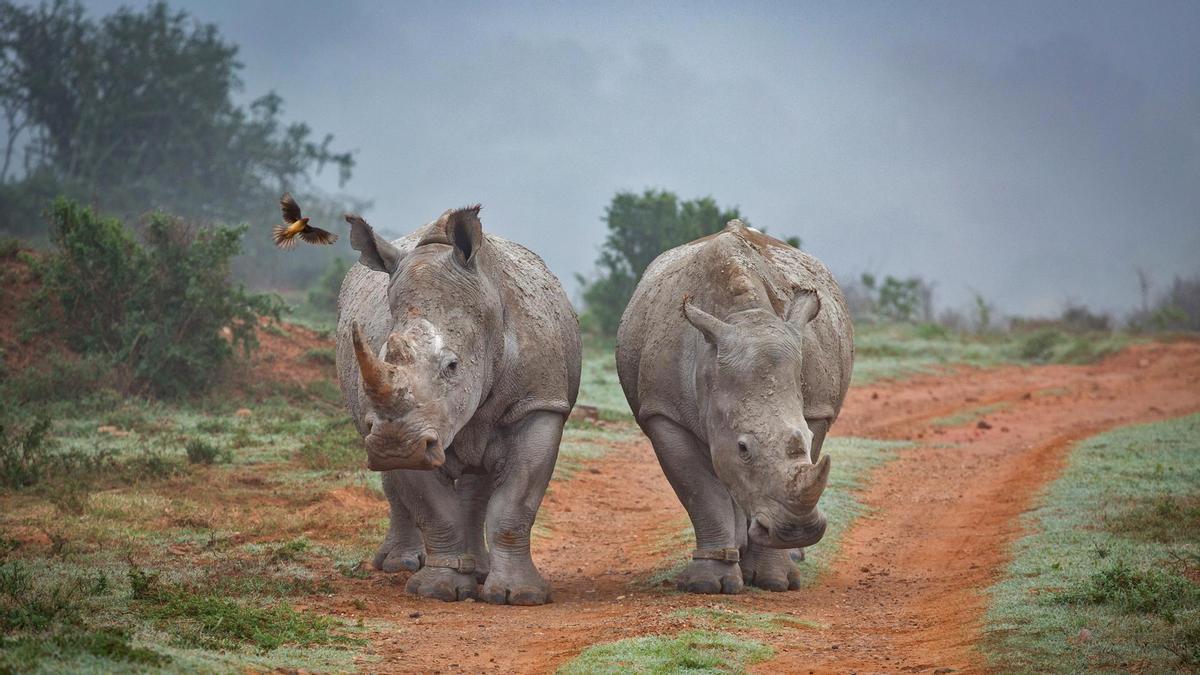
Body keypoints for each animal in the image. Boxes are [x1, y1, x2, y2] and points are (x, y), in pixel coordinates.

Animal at [338, 206, 580, 605]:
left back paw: (479, 571)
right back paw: (399, 565)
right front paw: (437, 590)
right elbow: (433, 509)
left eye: (452, 366)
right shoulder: (408, 429)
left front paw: (519, 596)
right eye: (385, 355)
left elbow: (515, 502)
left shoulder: (539, 405)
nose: (394, 446)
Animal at [619, 219, 854, 588]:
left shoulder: (817, 408)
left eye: (804, 436)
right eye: (743, 448)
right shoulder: (664, 412)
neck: (746, 315)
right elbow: (701, 492)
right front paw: (706, 584)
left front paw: (775, 581)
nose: (798, 531)